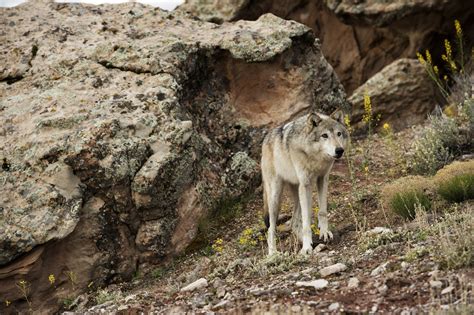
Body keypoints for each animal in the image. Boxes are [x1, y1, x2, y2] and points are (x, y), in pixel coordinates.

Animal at [262, 111, 350, 256]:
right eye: (324, 135)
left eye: (339, 134)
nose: (339, 150)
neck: (315, 157)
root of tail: (265, 139)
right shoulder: (306, 184)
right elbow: (306, 221)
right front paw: (307, 247)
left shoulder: (323, 179)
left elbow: (322, 211)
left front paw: (324, 233)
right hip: (276, 196)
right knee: (271, 229)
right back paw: (273, 253)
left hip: (297, 193)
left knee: (294, 223)